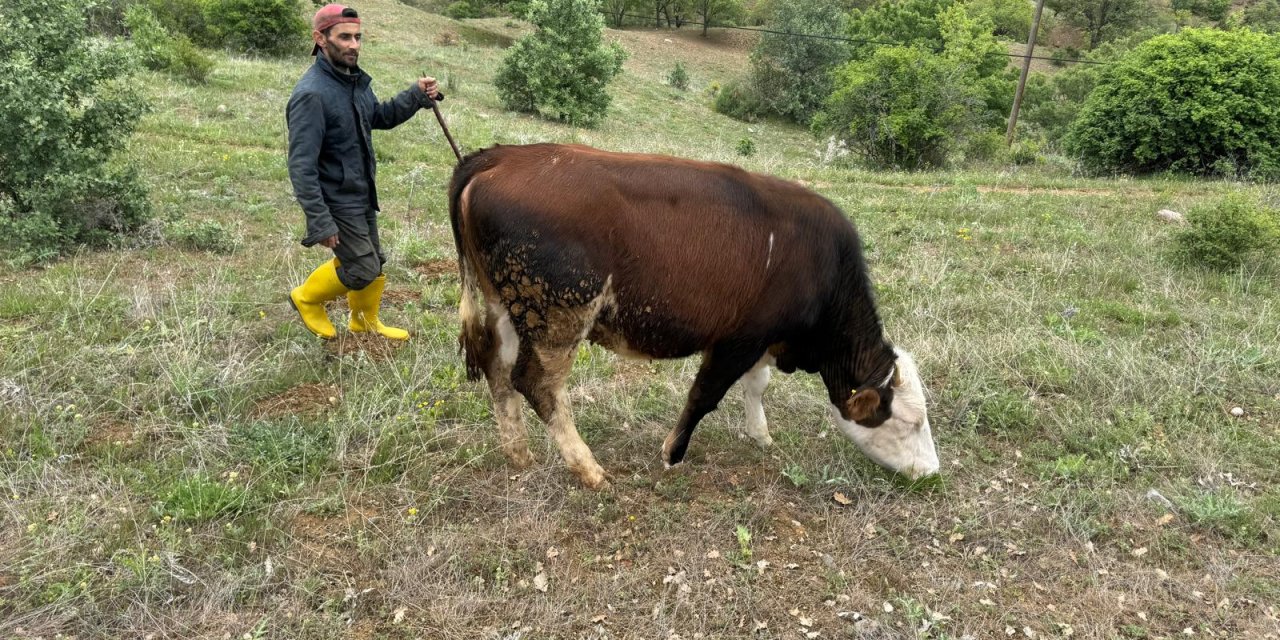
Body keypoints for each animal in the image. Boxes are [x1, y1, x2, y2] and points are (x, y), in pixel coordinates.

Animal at [450, 142, 942, 486]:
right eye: (911, 423)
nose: (932, 472)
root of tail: (499, 157)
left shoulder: (762, 338)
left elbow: (756, 384)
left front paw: (759, 434)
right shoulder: (737, 340)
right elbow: (704, 395)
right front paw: (673, 453)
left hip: (505, 309)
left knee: (498, 372)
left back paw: (519, 454)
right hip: (558, 315)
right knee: (537, 384)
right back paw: (588, 469)